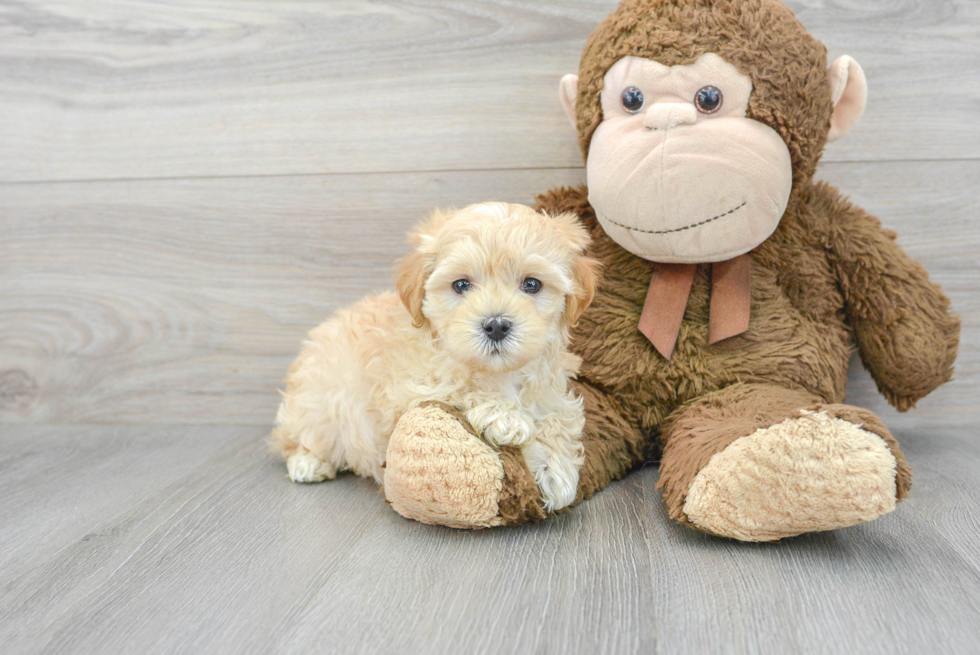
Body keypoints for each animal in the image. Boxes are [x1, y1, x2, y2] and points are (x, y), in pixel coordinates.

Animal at [272, 204, 600, 512]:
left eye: (532, 284)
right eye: (461, 285)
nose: (496, 325)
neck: (499, 373)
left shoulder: (551, 389)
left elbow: (557, 417)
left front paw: (554, 469)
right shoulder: (408, 391)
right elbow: (459, 387)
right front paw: (504, 415)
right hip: (317, 400)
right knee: (293, 438)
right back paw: (308, 462)